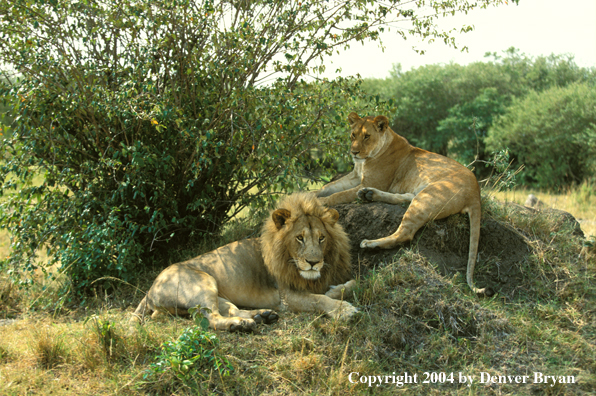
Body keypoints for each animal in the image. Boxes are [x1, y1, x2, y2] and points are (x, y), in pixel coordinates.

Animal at [130, 192, 356, 332]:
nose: (313, 262)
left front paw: (340, 288)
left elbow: (344, 286)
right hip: (202, 283)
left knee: (230, 309)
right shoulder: (286, 295)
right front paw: (344, 310)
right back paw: (241, 325)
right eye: (299, 238)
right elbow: (319, 300)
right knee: (210, 318)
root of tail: (150, 289)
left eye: (322, 238)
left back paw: (262, 316)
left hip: (214, 293)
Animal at [316, 113, 488, 296]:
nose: (354, 152)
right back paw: (368, 195)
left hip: (427, 196)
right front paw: (308, 194)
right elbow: (327, 187)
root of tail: (476, 192)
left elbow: (338, 195)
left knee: (405, 234)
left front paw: (321, 201)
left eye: (367, 136)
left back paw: (370, 242)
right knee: (406, 199)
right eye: (353, 135)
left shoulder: (369, 181)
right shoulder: (355, 176)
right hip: (419, 193)